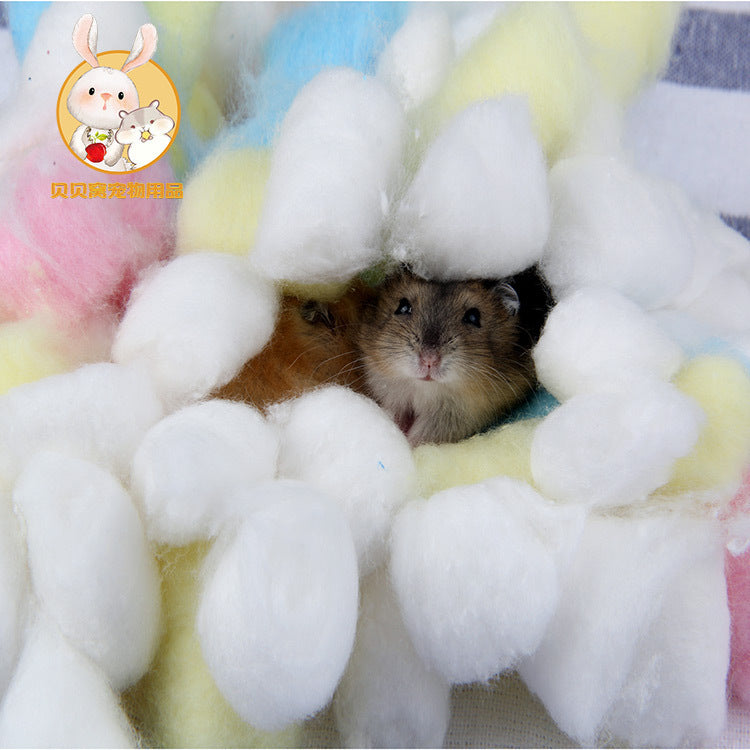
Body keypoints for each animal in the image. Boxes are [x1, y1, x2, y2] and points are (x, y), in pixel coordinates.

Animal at [355, 266, 552, 446]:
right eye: (403, 307)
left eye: (473, 317)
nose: (429, 360)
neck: (425, 390)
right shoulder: (392, 393)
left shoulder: (456, 415)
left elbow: (426, 434)